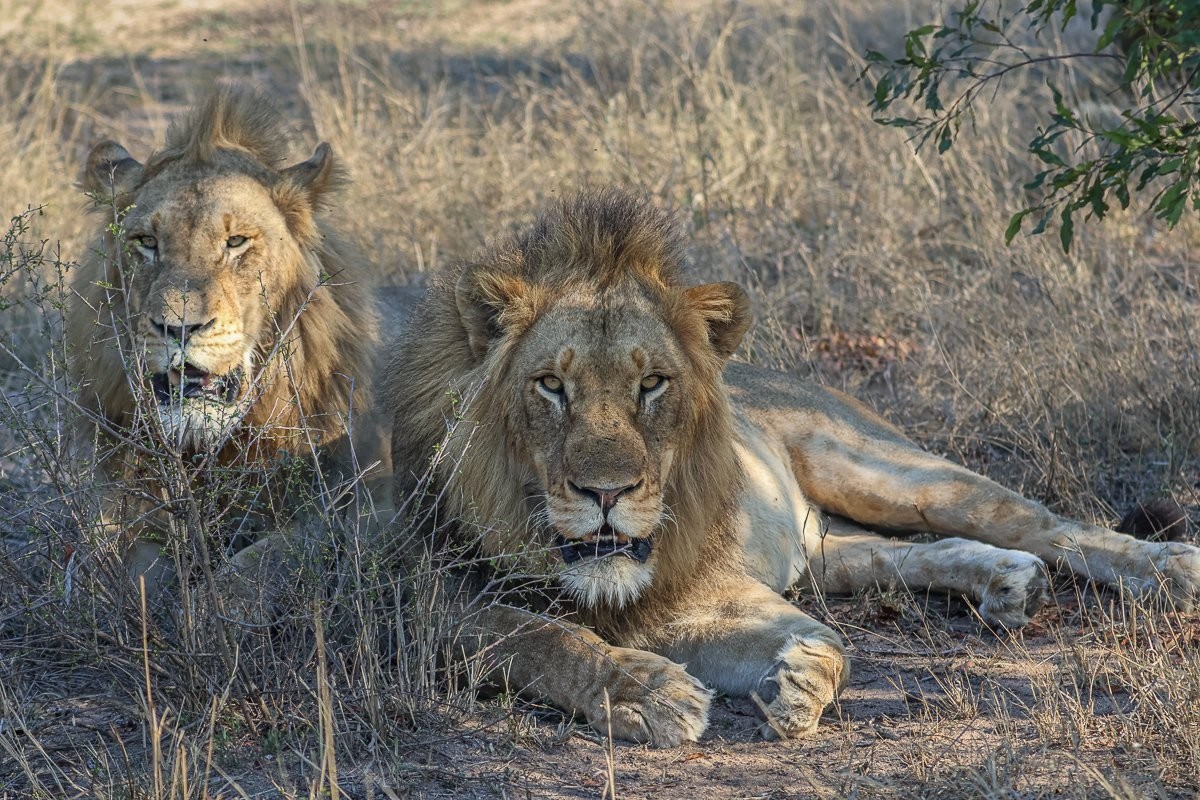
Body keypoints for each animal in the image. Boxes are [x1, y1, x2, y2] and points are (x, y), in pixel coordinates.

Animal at [68, 87, 406, 592]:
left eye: (236, 242)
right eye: (146, 241)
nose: (179, 327)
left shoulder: (375, 506)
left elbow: (257, 565)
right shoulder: (124, 504)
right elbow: (126, 570)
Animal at [387, 188, 1200, 746]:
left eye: (653, 383)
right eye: (552, 385)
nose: (606, 492)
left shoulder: (708, 594)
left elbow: (832, 642)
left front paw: (800, 680)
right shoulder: (427, 601)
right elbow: (537, 638)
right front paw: (647, 693)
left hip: (883, 468)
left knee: (1044, 524)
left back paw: (1166, 568)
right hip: (824, 545)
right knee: (902, 554)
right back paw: (1007, 582)